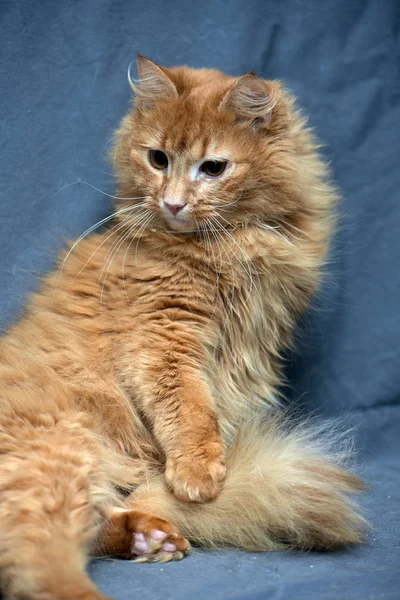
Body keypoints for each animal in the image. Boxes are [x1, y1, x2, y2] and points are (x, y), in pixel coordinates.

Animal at [0, 57, 364, 600]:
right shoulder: (164, 338)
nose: (172, 203)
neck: (231, 246)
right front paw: (198, 474)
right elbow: (190, 411)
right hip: (54, 454)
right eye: (158, 159)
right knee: (39, 560)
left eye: (212, 168)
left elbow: (214, 417)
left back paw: (150, 537)